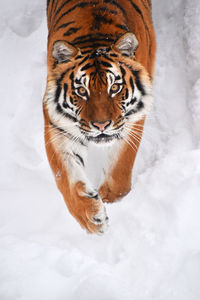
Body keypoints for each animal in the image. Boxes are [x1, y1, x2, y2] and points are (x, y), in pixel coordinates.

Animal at [43, 0, 156, 234]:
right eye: (81, 91)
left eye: (114, 88)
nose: (101, 125)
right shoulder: (58, 126)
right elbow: (65, 177)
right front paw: (91, 217)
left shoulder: (133, 118)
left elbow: (122, 163)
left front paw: (110, 197)